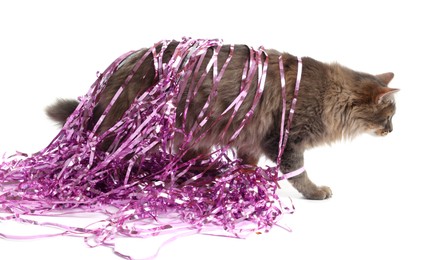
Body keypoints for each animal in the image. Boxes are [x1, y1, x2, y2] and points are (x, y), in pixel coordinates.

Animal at [45, 40, 396, 199]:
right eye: (390, 115)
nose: (392, 131)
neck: (329, 96)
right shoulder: (285, 139)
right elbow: (299, 174)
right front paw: (315, 191)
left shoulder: (253, 137)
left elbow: (247, 164)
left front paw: (244, 181)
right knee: (98, 157)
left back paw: (207, 173)